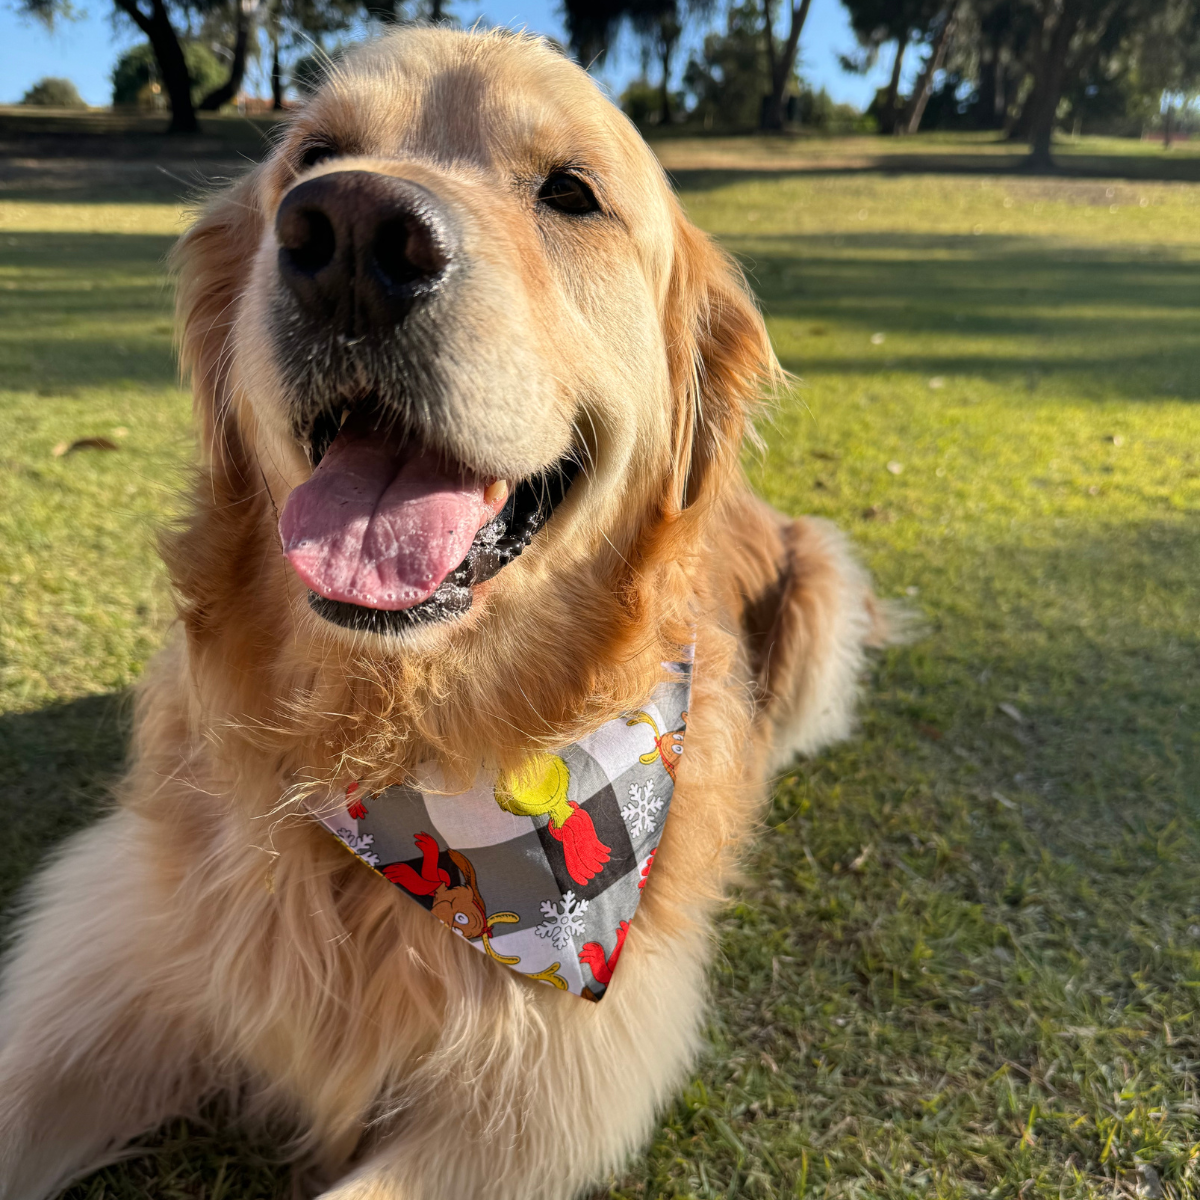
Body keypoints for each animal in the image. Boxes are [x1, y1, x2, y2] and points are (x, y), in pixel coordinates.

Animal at [0, 30, 883, 1200]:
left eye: (571, 192)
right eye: (314, 156)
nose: (350, 233)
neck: (398, 743)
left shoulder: (549, 1089)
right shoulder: (114, 944)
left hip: (824, 582)